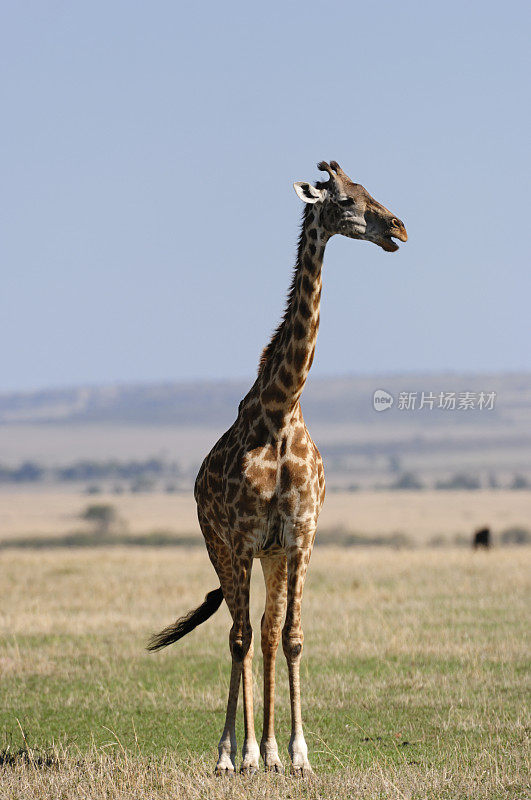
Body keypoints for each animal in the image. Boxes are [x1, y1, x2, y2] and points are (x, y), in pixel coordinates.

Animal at [148, 159, 410, 780]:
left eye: (368, 190)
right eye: (345, 199)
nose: (399, 227)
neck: (281, 408)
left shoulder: (300, 535)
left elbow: (289, 637)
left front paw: (294, 754)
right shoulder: (243, 536)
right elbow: (241, 638)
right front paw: (236, 753)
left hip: (270, 557)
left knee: (264, 632)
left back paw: (264, 750)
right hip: (220, 547)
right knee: (237, 631)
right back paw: (236, 753)